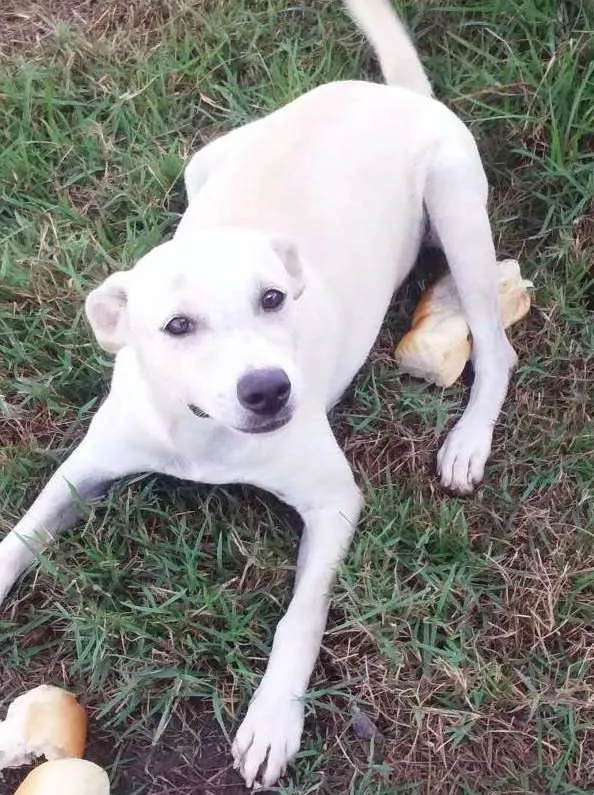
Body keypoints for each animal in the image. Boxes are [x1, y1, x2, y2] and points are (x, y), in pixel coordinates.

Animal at [0, 0, 512, 784]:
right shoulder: (81, 471)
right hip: (204, 162)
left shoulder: (334, 503)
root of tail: (394, 95)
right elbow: (20, 534)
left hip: (457, 209)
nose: (269, 390)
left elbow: (299, 617)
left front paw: (273, 719)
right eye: (177, 326)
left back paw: (467, 438)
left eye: (273, 299)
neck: (203, 431)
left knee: (497, 345)